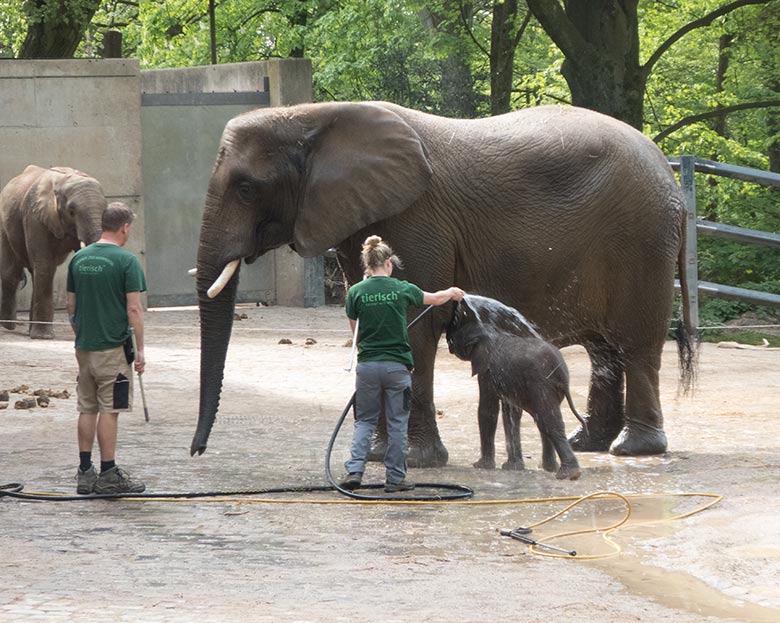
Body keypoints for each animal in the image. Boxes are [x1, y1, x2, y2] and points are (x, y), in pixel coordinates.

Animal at [0, 165, 106, 342]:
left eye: (105, 211)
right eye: (71, 211)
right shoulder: (34, 216)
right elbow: (45, 265)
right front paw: (43, 337)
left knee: (34, 273)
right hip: (4, 224)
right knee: (12, 272)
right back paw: (9, 326)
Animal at [444, 294, 584, 480]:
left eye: (454, 339)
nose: (448, 341)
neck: (489, 332)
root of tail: (562, 372)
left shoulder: (487, 370)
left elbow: (488, 409)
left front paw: (481, 466)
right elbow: (510, 412)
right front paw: (512, 467)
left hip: (540, 383)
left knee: (548, 420)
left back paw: (568, 474)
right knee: (542, 420)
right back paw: (551, 468)